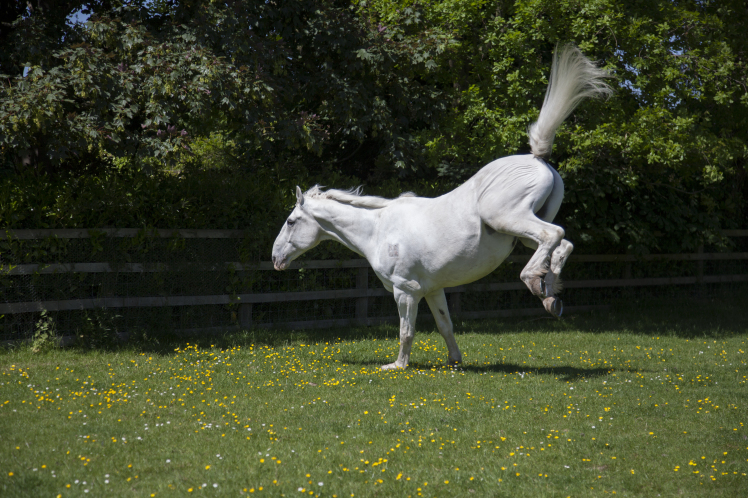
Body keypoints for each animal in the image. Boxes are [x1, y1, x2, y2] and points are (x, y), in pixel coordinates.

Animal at [272, 44, 612, 370]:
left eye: (290, 221)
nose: (275, 259)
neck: (378, 228)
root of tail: (536, 157)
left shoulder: (406, 290)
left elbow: (406, 331)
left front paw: (397, 365)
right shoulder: (433, 290)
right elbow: (445, 326)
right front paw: (454, 362)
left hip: (508, 218)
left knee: (553, 235)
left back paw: (533, 281)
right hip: (523, 229)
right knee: (562, 244)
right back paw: (551, 297)